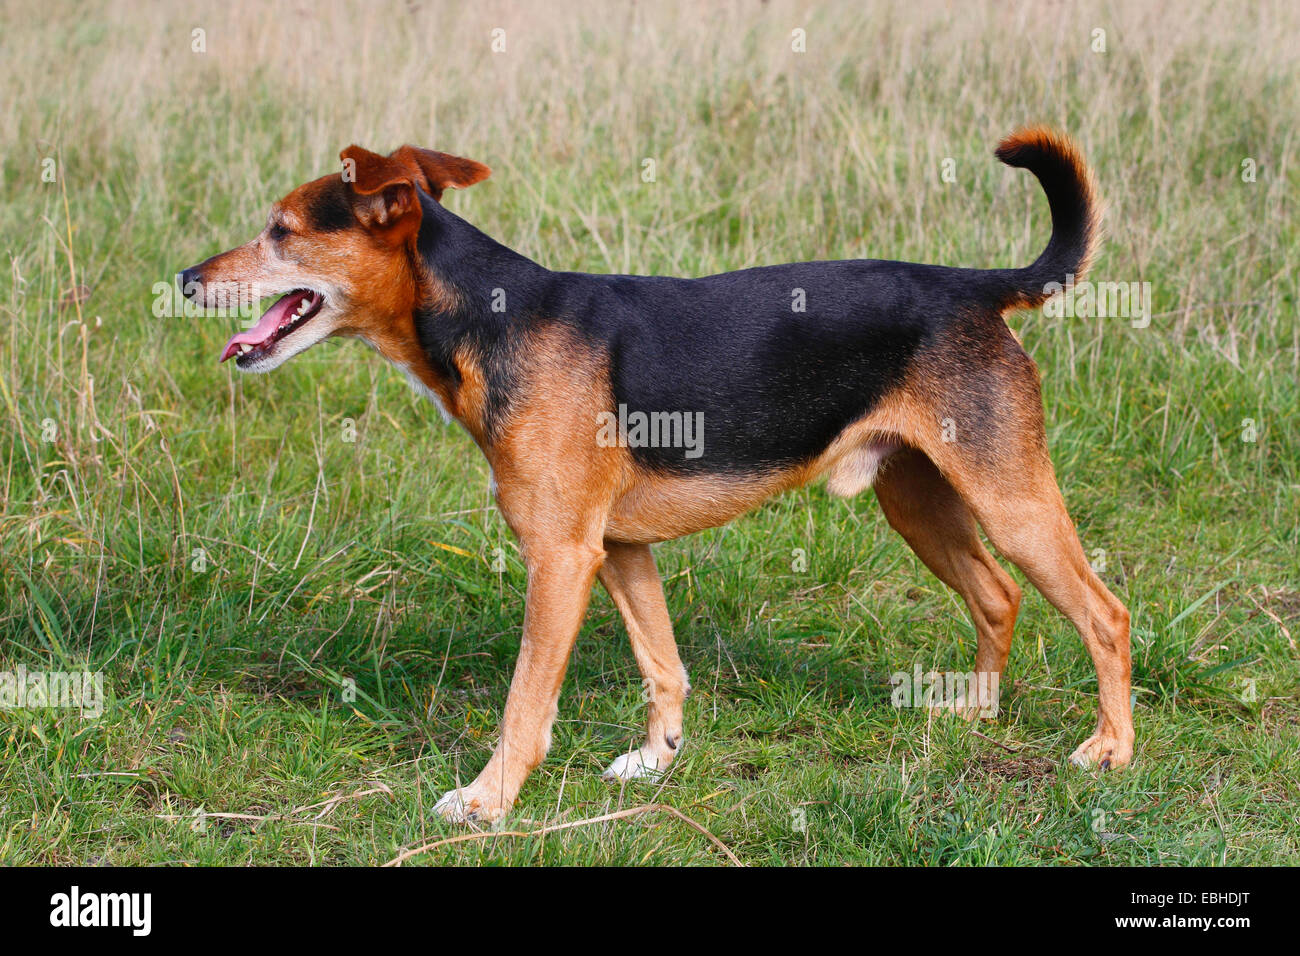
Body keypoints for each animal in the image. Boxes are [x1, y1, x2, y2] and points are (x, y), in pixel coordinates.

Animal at [178, 127, 1133, 827]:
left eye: (282, 231)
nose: (185, 279)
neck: (490, 319)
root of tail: (973, 286)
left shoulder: (560, 557)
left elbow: (525, 704)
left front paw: (488, 800)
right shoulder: (619, 549)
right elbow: (662, 664)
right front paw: (656, 758)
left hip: (1010, 500)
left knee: (1106, 615)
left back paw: (1110, 751)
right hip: (920, 500)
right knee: (997, 596)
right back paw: (975, 711)